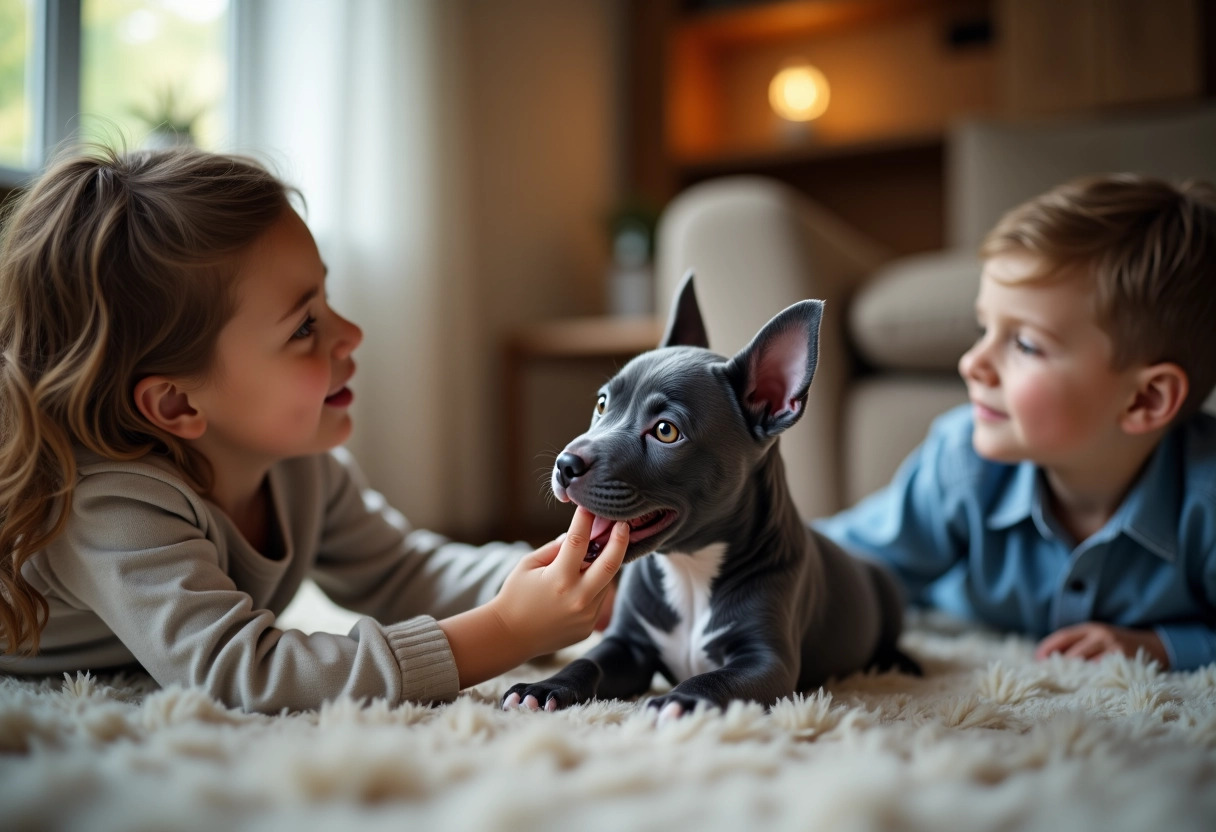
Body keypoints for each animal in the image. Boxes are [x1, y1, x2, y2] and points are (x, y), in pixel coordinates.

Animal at [498, 274, 914, 720]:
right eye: (602, 404)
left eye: (666, 431)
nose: (565, 464)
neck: (691, 567)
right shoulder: (627, 645)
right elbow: (587, 661)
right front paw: (543, 687)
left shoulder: (766, 661)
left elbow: (717, 680)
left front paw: (678, 700)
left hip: (888, 590)